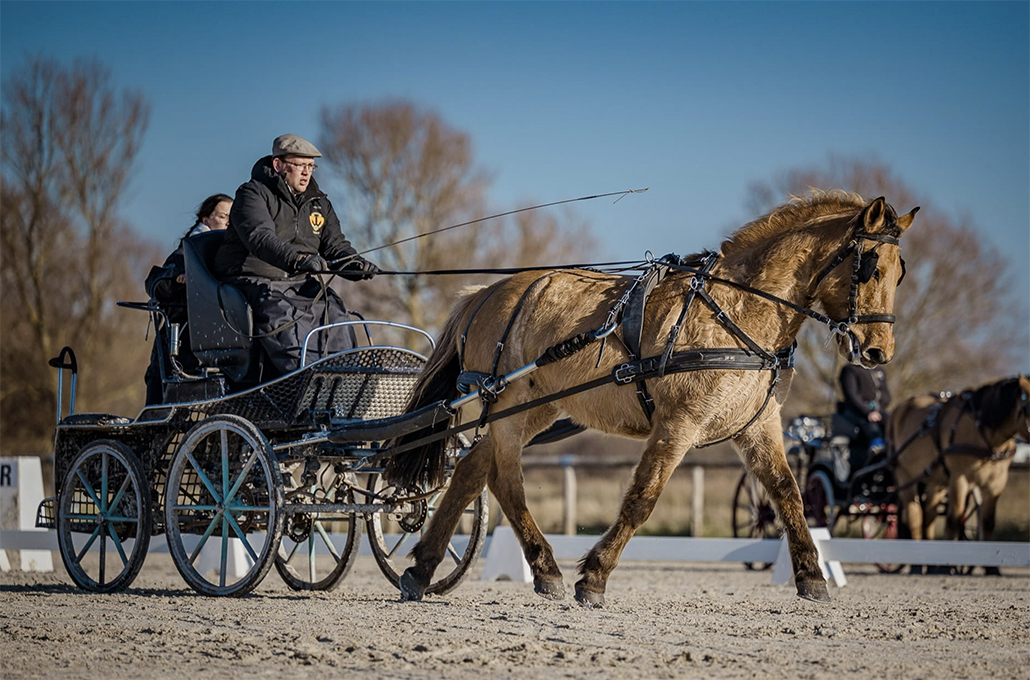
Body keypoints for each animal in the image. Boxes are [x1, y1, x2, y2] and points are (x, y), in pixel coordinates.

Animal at [385, 191, 918, 606]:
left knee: (473, 469)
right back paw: (547, 570)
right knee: (505, 478)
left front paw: (811, 576)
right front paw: (594, 577)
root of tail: (485, 292)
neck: (739, 309)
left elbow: (788, 493)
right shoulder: (679, 421)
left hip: (537, 407)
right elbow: (643, 498)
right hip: (510, 402)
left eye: (899, 273)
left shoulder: (758, 424)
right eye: (869, 268)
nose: (878, 352)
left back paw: (422, 570)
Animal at [887, 375, 1030, 571]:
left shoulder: (995, 483)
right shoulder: (959, 478)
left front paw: (991, 568)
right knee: (915, 516)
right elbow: (953, 520)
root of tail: (898, 410)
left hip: (935, 481)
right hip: (905, 477)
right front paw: (947, 566)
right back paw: (917, 564)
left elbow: (988, 522)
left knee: (929, 515)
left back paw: (929, 564)